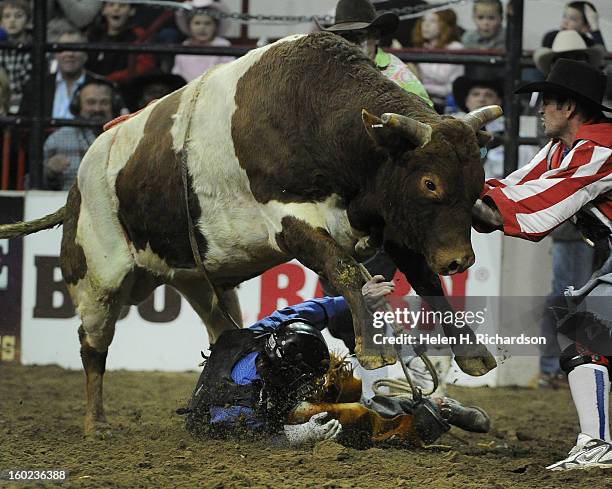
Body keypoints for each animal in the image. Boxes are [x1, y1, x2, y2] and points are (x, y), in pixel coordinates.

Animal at [0, 32, 500, 432]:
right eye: (430, 183)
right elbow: (344, 269)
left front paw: (473, 354)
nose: (460, 260)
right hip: (96, 279)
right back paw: (97, 422)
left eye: (476, 180)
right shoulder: (289, 220)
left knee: (220, 327)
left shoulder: (392, 219)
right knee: (93, 347)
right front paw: (375, 347)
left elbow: (428, 283)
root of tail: (77, 185)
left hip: (195, 279)